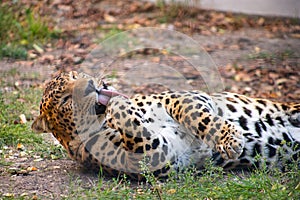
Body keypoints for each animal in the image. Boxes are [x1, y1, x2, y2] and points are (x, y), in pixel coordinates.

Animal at [31, 71, 300, 179]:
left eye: (74, 75)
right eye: (65, 100)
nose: (88, 85)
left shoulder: (188, 97)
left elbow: (196, 115)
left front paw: (230, 139)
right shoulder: (155, 157)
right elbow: (134, 128)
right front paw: (117, 103)